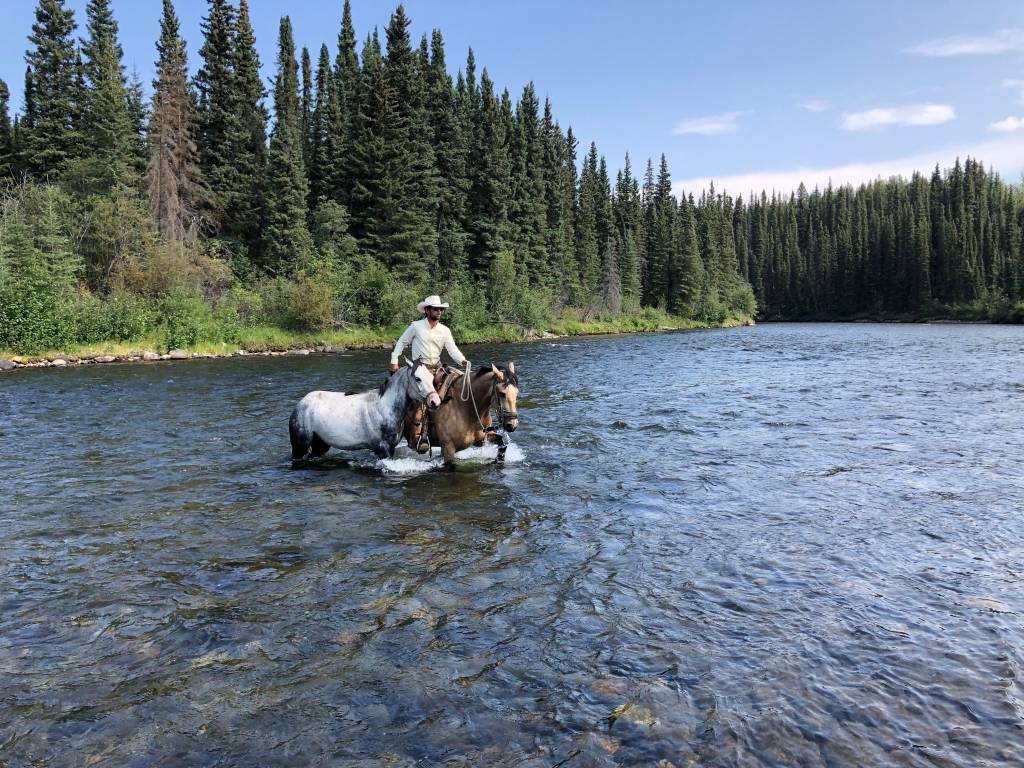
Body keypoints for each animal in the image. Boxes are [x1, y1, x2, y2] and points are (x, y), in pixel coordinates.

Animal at [288, 358, 440, 460]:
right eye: (418, 378)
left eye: (431, 377)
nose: (435, 401)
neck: (384, 408)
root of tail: (300, 404)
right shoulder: (383, 450)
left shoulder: (390, 449)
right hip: (300, 446)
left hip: (320, 444)